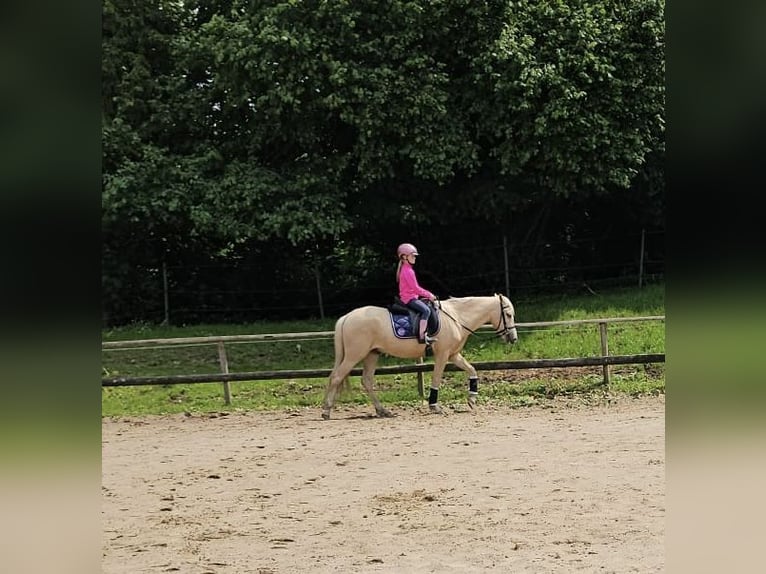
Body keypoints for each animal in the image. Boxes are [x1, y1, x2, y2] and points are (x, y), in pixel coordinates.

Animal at [321, 294, 518, 419]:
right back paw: (326, 411)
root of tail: (346, 317)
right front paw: (435, 406)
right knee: (336, 377)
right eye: (508, 314)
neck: (457, 317)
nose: (513, 338)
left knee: (366, 381)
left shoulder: (454, 355)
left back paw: (383, 410)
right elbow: (437, 378)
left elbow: (472, 370)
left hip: (371, 354)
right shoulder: (443, 355)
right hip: (355, 355)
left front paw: (472, 398)